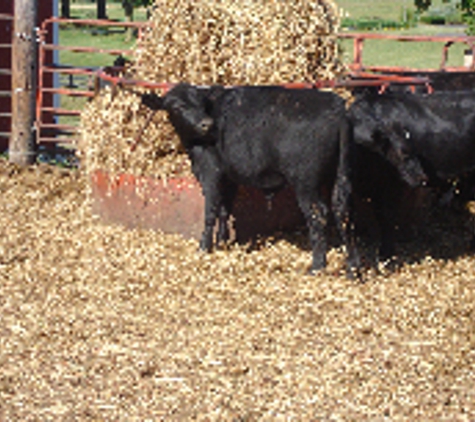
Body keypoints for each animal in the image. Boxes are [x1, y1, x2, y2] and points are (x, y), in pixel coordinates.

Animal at [141, 84, 360, 278]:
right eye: (177, 107)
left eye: (201, 103)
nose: (206, 123)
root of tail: (338, 107)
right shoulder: (229, 177)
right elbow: (224, 210)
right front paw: (222, 243)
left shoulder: (210, 172)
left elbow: (210, 211)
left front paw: (204, 247)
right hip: (338, 175)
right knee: (343, 211)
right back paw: (352, 268)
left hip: (305, 182)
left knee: (318, 214)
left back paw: (317, 266)